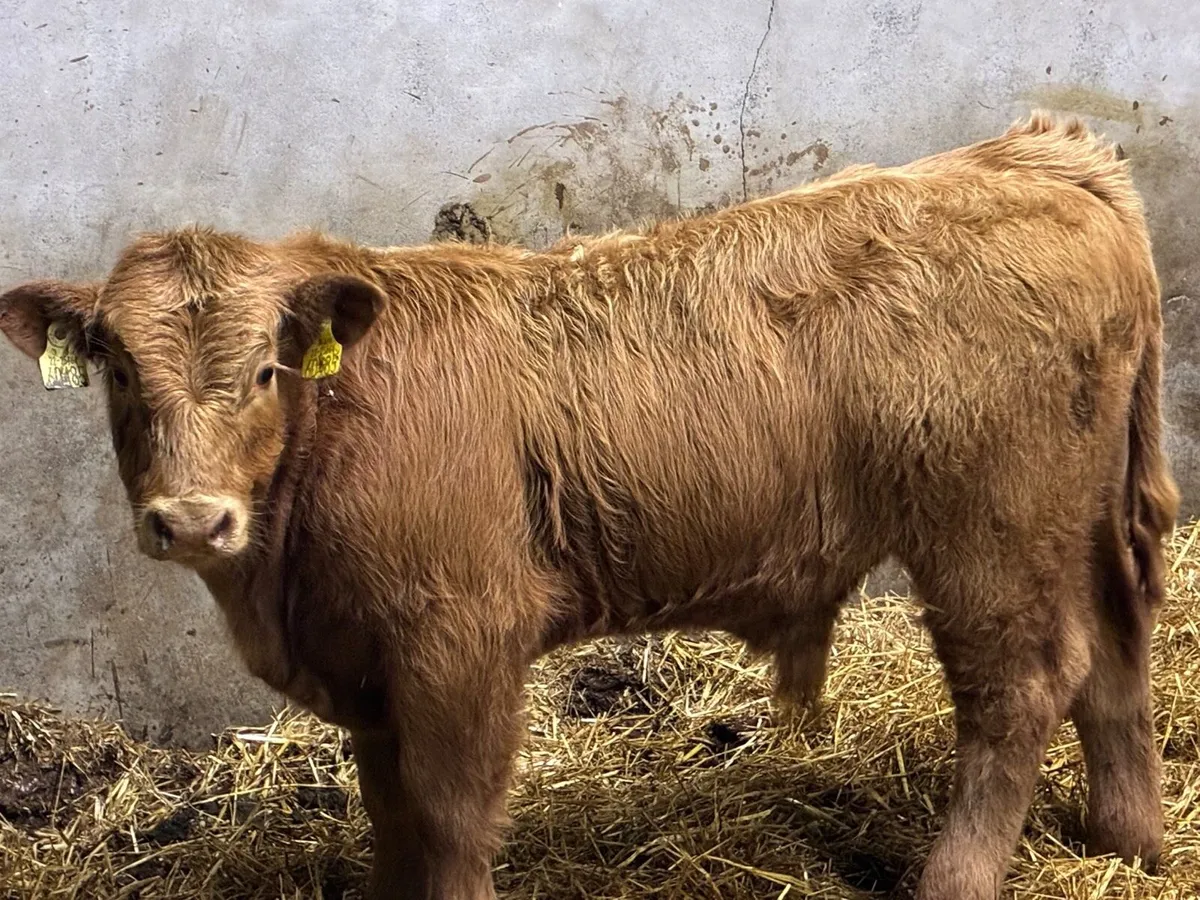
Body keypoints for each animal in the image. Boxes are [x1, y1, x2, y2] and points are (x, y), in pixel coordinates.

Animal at [0, 112, 1179, 899]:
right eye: (118, 371)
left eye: (263, 371)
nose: (193, 521)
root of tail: (1032, 156)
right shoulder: (373, 663)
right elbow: (391, 817)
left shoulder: (460, 642)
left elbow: (449, 819)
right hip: (1076, 519)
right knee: (1116, 654)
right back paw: (1128, 842)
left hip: (988, 533)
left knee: (1022, 690)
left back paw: (957, 879)